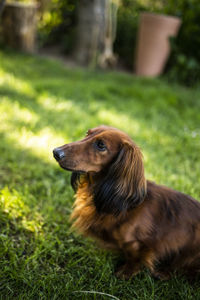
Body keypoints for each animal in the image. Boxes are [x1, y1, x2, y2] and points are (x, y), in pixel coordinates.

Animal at [53, 124, 200, 278]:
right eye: (87, 133)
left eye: (101, 145)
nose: (56, 152)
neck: (128, 205)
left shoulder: (136, 244)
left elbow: (134, 259)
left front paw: (125, 273)